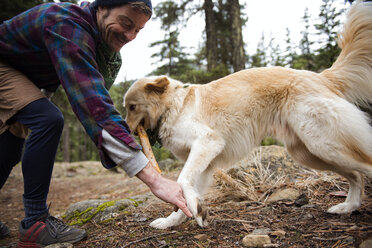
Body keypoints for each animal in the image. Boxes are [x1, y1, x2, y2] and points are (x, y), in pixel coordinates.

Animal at [124, 0, 372, 230]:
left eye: (132, 107)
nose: (125, 130)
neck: (173, 106)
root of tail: (321, 77)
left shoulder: (208, 142)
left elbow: (183, 179)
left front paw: (194, 211)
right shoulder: (204, 161)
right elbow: (184, 193)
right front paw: (177, 219)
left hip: (324, 144)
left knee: (364, 168)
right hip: (310, 153)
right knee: (356, 175)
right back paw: (348, 206)